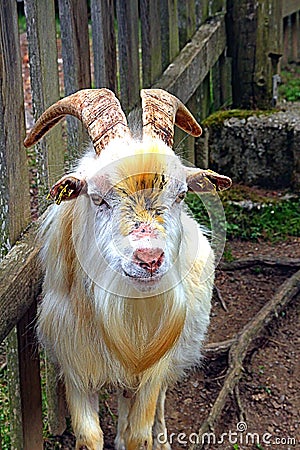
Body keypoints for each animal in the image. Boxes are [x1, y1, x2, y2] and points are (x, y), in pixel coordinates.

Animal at [24, 89, 232, 450]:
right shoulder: (75, 368)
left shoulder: (153, 370)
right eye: (97, 198)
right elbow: (90, 435)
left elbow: (139, 434)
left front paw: (146, 438)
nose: (149, 258)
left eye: (181, 195)